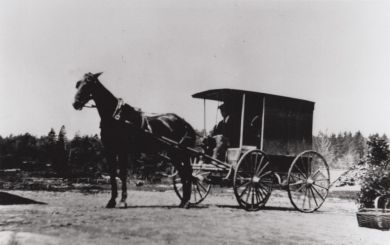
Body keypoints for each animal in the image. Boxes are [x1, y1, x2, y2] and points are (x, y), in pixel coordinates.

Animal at [72, 72, 197, 208]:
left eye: (88, 84)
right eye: (78, 84)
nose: (75, 104)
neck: (116, 117)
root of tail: (184, 122)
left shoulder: (122, 150)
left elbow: (122, 174)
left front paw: (123, 201)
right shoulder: (110, 150)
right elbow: (112, 174)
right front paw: (111, 201)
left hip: (180, 153)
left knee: (187, 173)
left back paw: (186, 202)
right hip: (173, 154)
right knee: (184, 173)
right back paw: (183, 201)